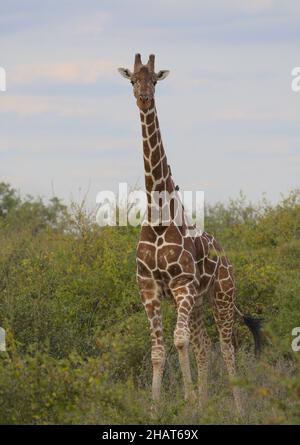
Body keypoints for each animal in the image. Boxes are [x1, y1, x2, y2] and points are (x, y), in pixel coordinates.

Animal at [118, 54, 262, 412]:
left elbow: (178, 341)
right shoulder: (149, 288)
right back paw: (205, 406)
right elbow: (159, 351)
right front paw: (158, 409)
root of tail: (226, 258)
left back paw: (237, 410)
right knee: (204, 345)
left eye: (155, 79)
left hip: (222, 296)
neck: (158, 217)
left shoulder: (181, 284)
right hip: (197, 304)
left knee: (226, 347)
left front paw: (187, 398)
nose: (144, 97)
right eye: (132, 80)